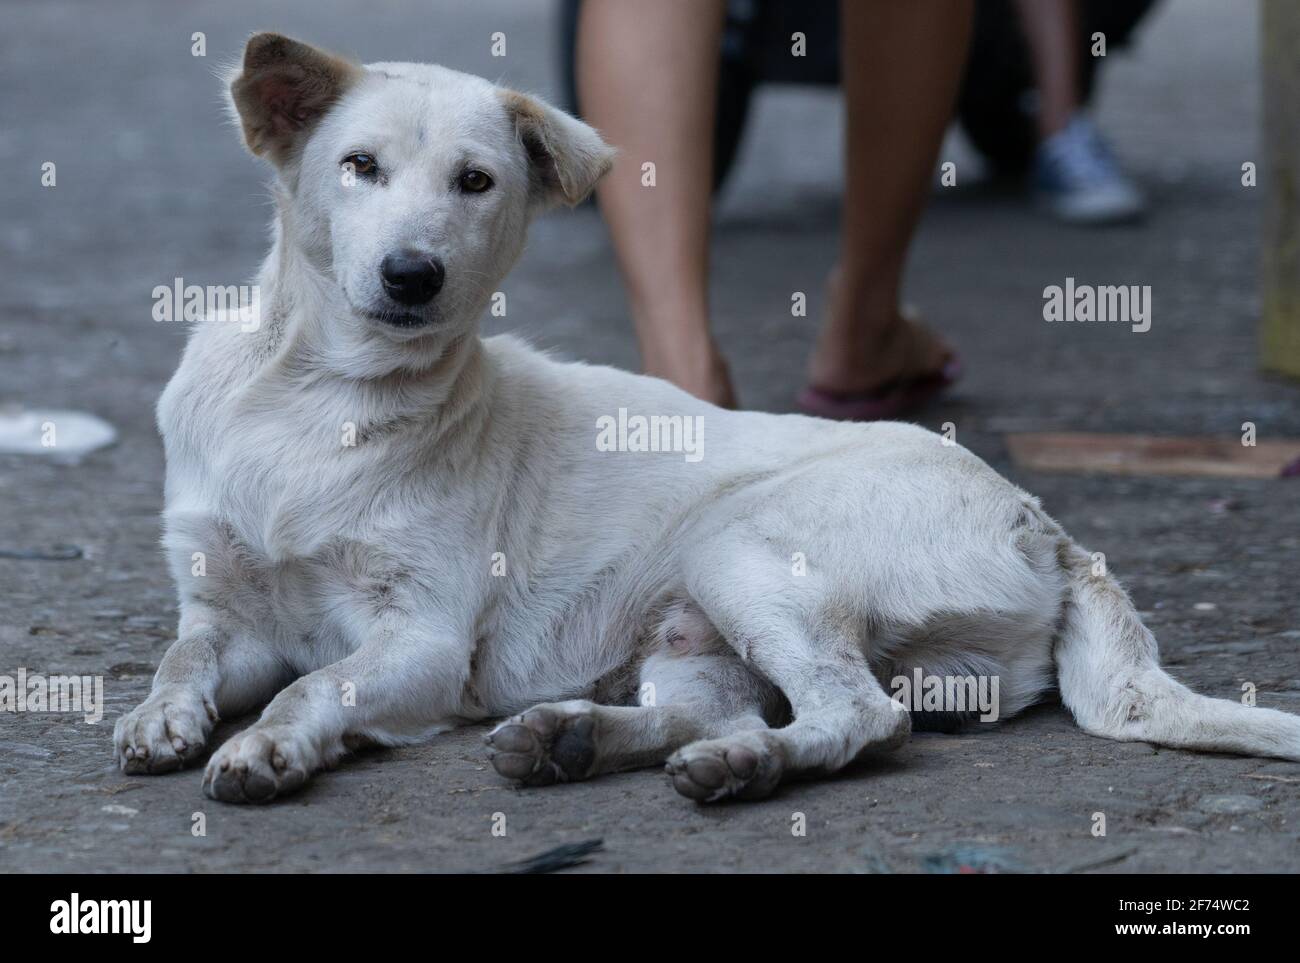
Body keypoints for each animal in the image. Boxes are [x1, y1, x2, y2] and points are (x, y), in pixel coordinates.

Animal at [114, 33, 1300, 800]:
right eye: (357, 166)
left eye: (476, 181)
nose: (412, 275)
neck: (318, 403)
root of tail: (1044, 524)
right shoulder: (226, 610)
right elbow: (184, 655)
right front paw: (157, 716)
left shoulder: (423, 638)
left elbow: (317, 684)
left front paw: (265, 748)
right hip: (694, 629)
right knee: (721, 709)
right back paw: (580, 741)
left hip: (741, 546)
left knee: (862, 716)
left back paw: (738, 767)